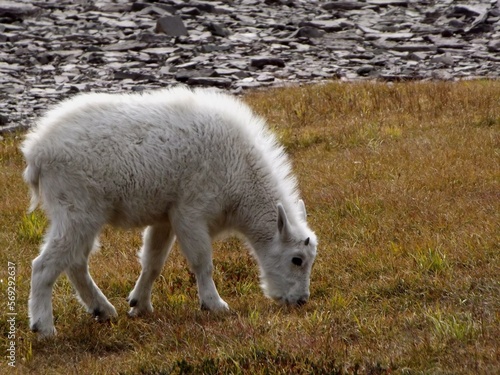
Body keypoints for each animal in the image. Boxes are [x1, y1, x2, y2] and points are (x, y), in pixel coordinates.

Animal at [21, 86, 318, 340]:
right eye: (297, 260)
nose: (300, 301)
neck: (241, 175)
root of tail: (36, 153)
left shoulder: (165, 217)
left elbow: (152, 261)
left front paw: (139, 304)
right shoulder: (191, 212)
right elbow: (202, 261)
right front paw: (214, 304)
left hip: (82, 215)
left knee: (75, 262)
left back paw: (102, 310)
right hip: (77, 210)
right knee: (45, 264)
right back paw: (44, 326)